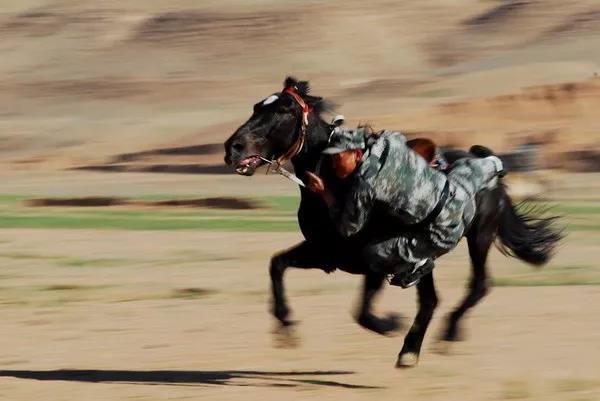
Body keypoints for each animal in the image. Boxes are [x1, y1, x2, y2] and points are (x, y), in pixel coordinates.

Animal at [223, 76, 560, 366]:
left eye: (283, 111)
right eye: (256, 107)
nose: (232, 148)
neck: (338, 176)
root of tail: (494, 178)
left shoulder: (370, 260)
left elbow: (363, 313)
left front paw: (390, 323)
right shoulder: (325, 253)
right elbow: (277, 264)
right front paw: (286, 326)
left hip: (478, 238)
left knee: (476, 285)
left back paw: (443, 336)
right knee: (431, 299)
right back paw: (414, 348)